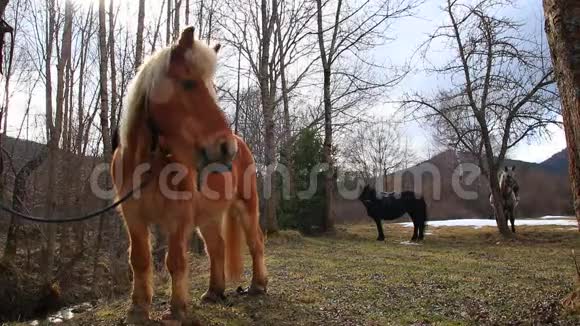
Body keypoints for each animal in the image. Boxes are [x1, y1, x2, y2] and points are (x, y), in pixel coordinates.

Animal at [110, 26, 268, 324]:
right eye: (188, 84)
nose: (226, 148)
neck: (150, 165)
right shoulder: (133, 217)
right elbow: (139, 260)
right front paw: (138, 309)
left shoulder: (179, 218)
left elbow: (175, 261)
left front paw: (178, 309)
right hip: (207, 217)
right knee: (216, 248)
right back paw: (214, 291)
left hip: (247, 207)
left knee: (256, 242)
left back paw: (258, 285)